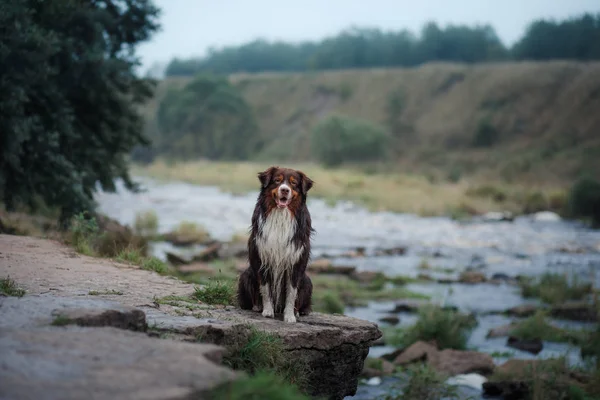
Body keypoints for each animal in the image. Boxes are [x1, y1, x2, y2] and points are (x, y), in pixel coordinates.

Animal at [238, 166, 316, 322]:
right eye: (277, 180)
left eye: (293, 183)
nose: (285, 190)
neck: (281, 215)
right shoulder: (262, 257)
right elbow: (265, 288)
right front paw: (268, 311)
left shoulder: (295, 261)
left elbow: (292, 293)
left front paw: (290, 316)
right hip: (246, 275)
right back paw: (257, 306)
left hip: (307, 280)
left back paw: (298, 312)